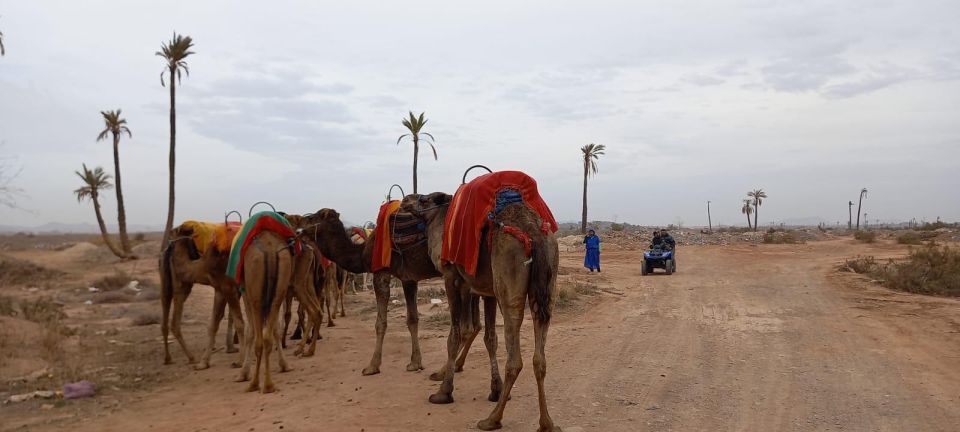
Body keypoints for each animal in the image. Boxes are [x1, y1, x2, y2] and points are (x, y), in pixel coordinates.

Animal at [160, 223, 244, 372]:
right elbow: (213, 325)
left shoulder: (229, 287)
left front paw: (240, 361)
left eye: (175, 231)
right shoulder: (220, 289)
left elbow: (239, 322)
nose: (168, 245)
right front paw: (203, 363)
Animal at [296, 204, 484, 376]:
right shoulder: (409, 278)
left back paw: (444, 371)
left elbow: (380, 323)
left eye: (312, 218)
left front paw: (372, 366)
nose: (298, 231)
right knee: (475, 325)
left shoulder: (381, 273)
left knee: (467, 327)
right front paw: (415, 363)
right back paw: (457, 366)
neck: (363, 251)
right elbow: (412, 319)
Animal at [404, 192, 564, 432]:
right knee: (540, 357)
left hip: (509, 283)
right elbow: (489, 337)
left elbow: (457, 333)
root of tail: (533, 232)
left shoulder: (454, 279)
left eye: (423, 200)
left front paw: (443, 391)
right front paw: (495, 389)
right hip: (547, 285)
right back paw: (547, 423)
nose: (404, 201)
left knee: (515, 358)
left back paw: (492, 419)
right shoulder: (487, 291)